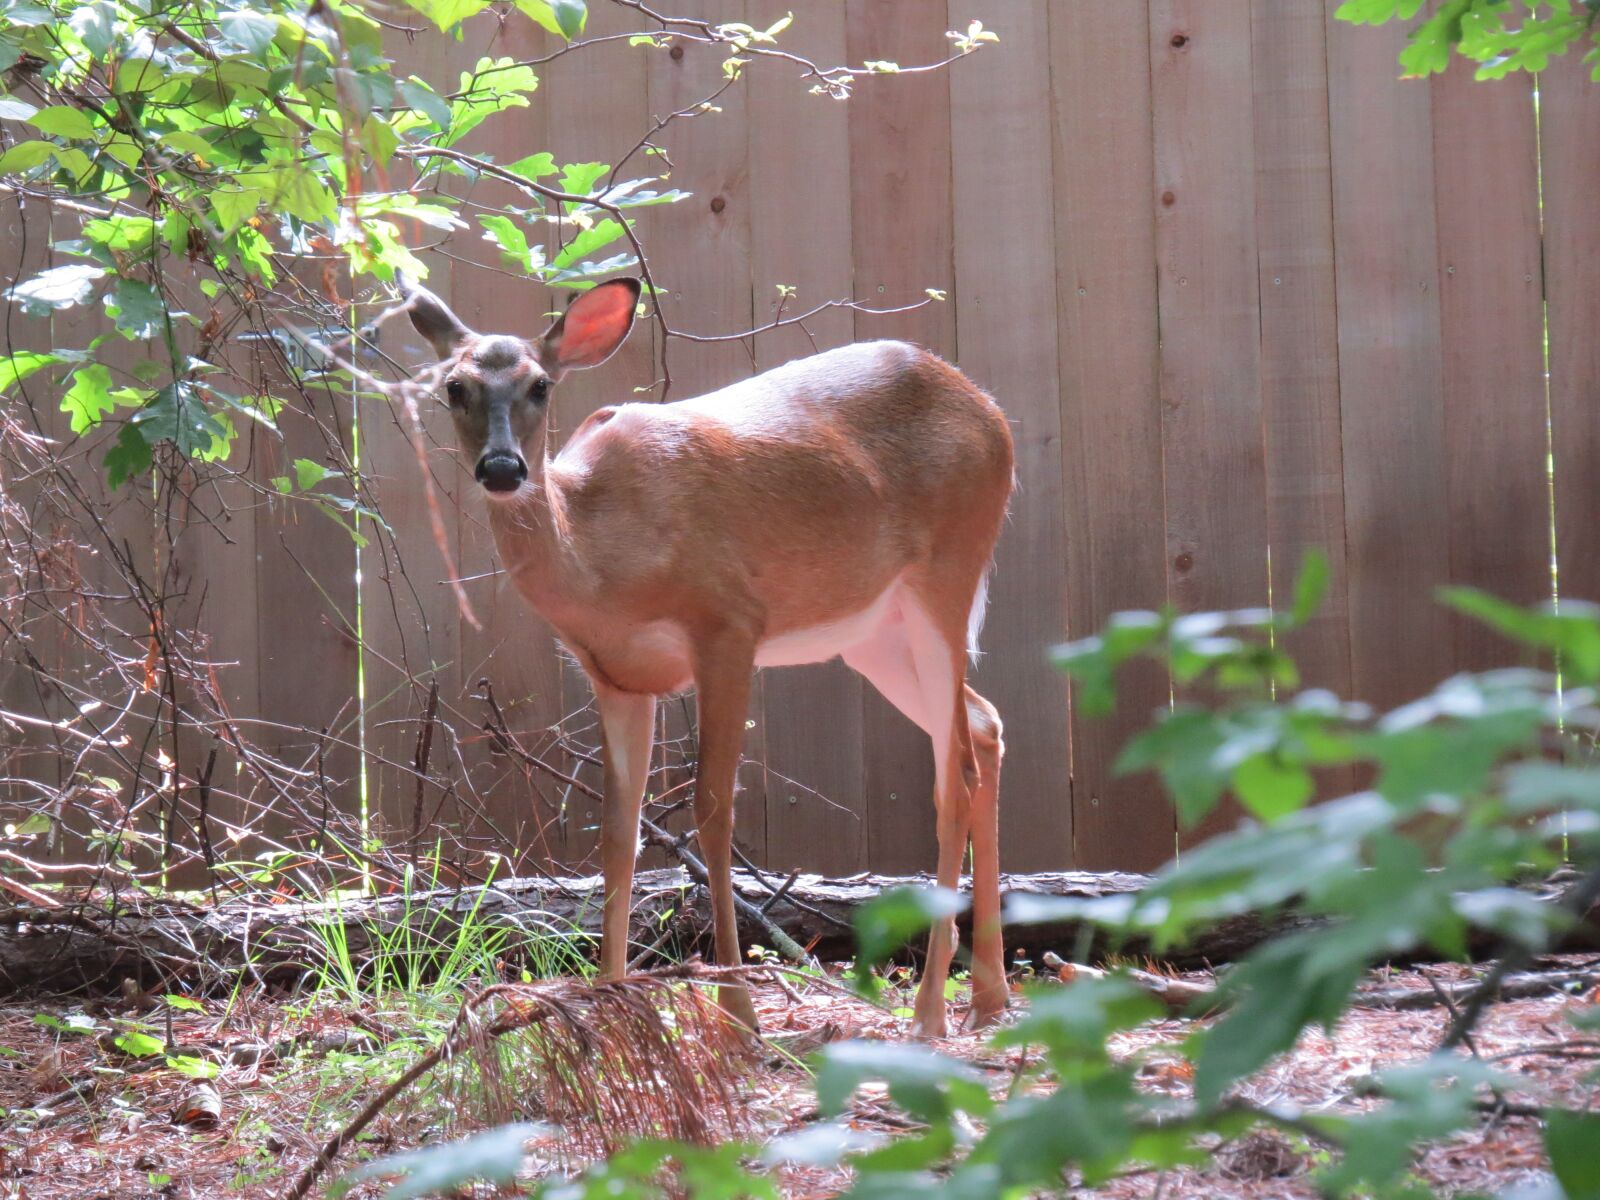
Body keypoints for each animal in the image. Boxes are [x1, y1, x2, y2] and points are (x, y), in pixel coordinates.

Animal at [400, 275, 1013, 1038]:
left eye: (540, 384)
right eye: (454, 386)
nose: (504, 467)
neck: (601, 559)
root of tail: (991, 412)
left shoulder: (728, 624)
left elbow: (713, 812)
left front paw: (738, 1010)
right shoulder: (616, 677)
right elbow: (618, 831)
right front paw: (609, 999)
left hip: (948, 574)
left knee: (955, 771)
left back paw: (931, 1011)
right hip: (874, 633)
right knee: (984, 725)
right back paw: (989, 994)